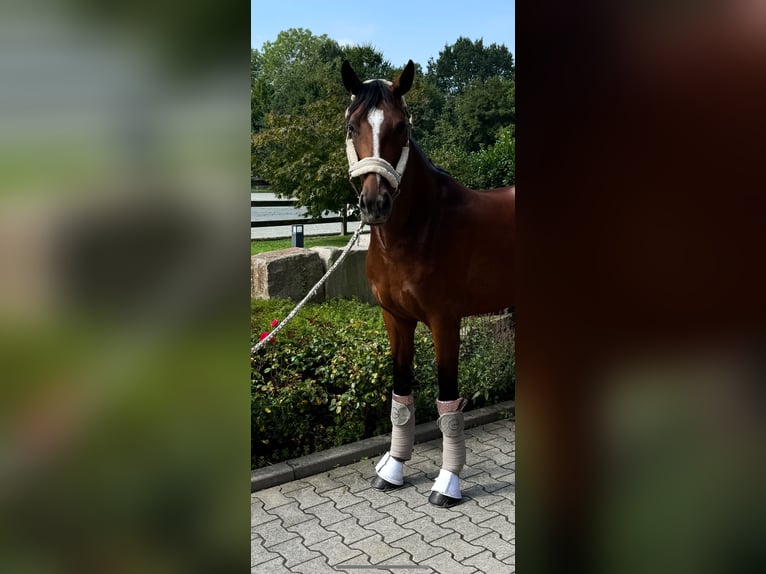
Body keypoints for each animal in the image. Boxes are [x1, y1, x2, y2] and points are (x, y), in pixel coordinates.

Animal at [344, 59, 516, 508]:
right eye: (352, 126)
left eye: (401, 127)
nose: (375, 204)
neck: (423, 227)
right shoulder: (395, 320)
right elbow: (401, 396)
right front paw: (393, 468)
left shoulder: (444, 321)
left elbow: (447, 401)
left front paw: (448, 482)